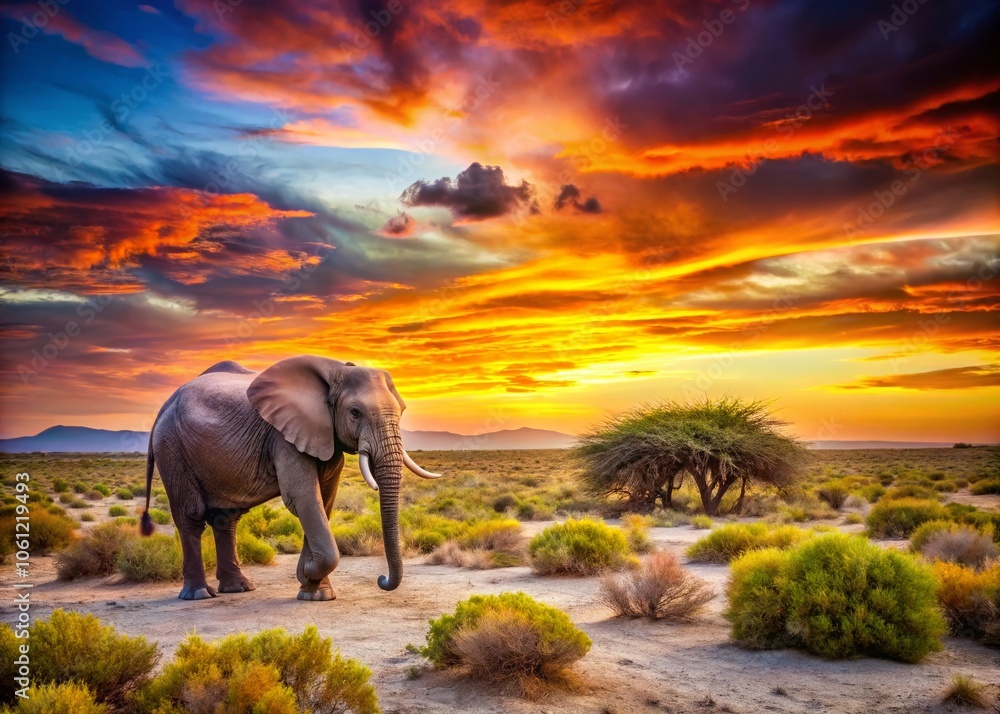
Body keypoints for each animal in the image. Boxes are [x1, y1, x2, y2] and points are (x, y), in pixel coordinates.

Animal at [138, 356, 441, 601]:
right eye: (355, 413)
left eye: (401, 412)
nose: (381, 579)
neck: (338, 371)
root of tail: (166, 403)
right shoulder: (283, 436)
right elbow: (304, 497)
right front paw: (308, 575)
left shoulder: (323, 435)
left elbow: (324, 501)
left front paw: (315, 591)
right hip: (172, 447)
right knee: (190, 516)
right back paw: (199, 594)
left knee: (226, 519)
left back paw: (239, 588)